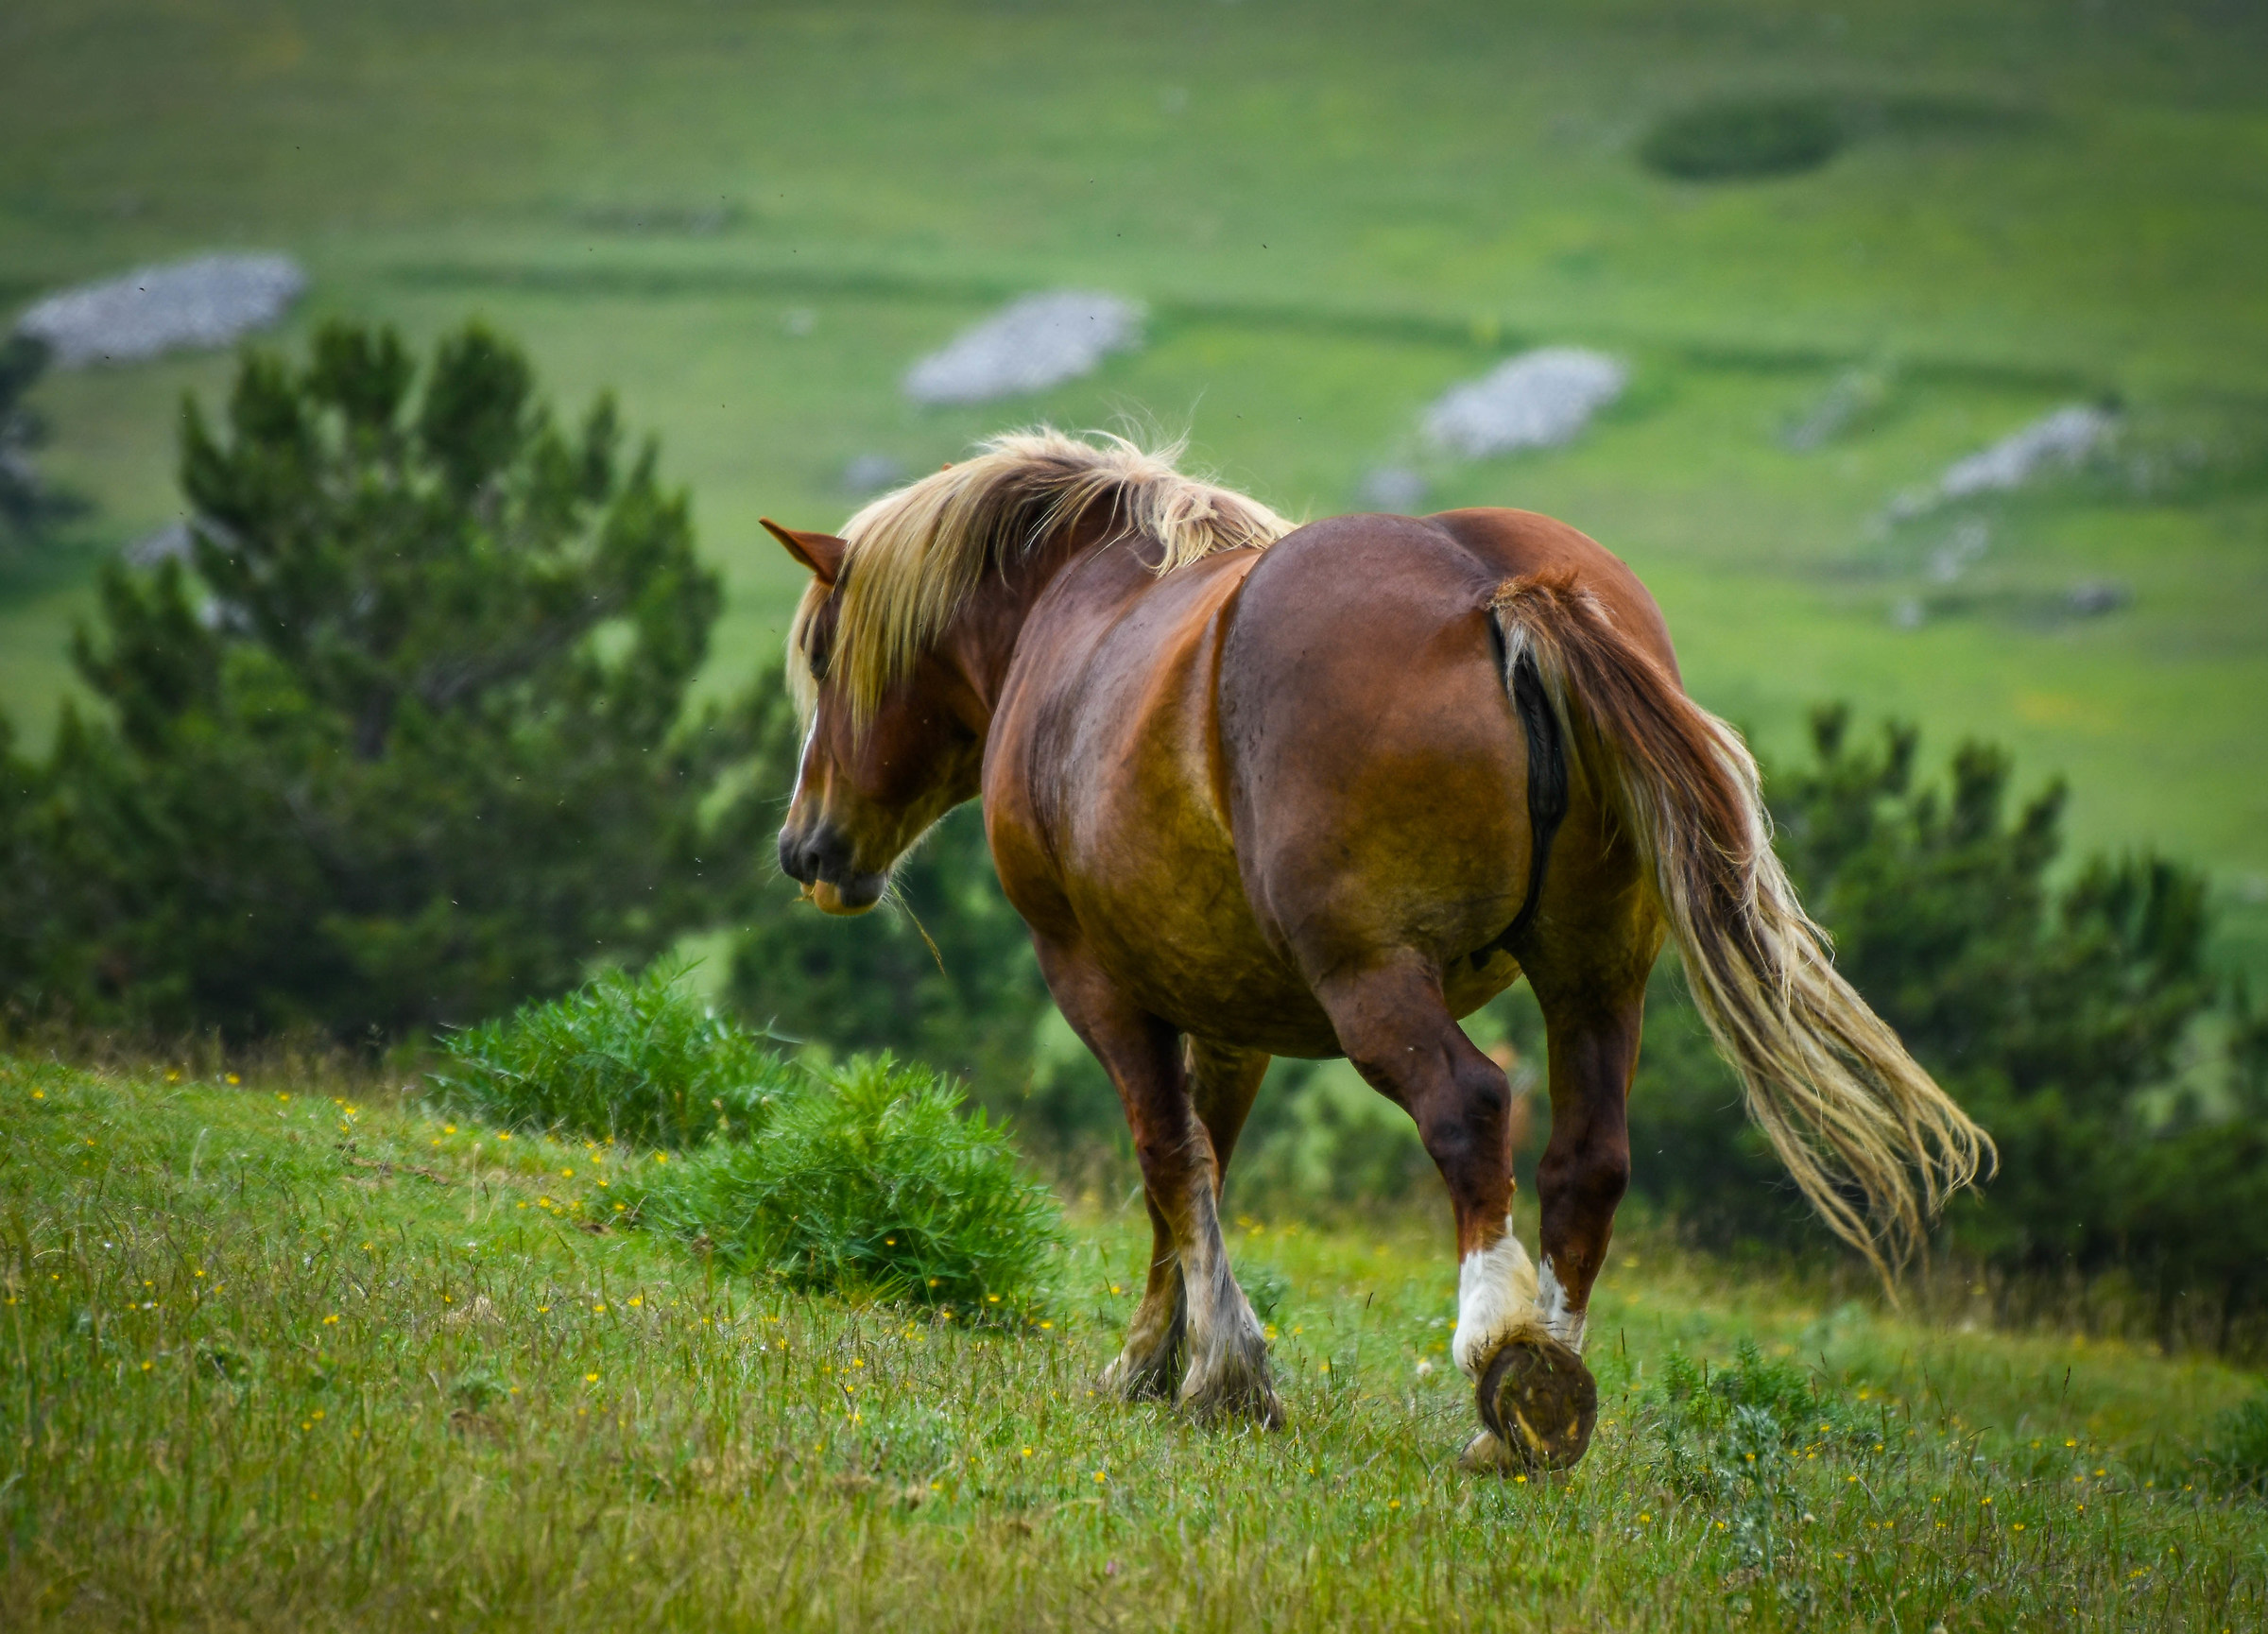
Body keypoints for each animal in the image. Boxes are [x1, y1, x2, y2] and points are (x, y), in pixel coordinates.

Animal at [764, 429, 1989, 1472]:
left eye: (823, 654)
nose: (804, 846)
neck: (1080, 612)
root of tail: (1502, 592)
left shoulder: (1097, 980)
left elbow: (1166, 1159)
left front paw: (1215, 1372)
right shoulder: (1230, 1012)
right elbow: (1200, 1170)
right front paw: (1166, 1359)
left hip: (1374, 982)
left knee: (1471, 1108)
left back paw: (1504, 1354)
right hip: (1596, 981)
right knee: (1586, 1159)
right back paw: (1540, 1398)